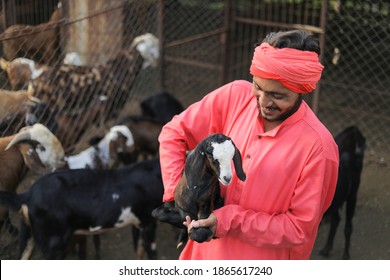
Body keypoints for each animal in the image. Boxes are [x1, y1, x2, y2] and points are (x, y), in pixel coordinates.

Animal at [0, 156, 163, 260]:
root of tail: (27, 195)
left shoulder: (137, 221)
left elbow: (138, 249)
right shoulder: (148, 221)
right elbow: (152, 253)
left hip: (28, 236)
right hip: (53, 242)